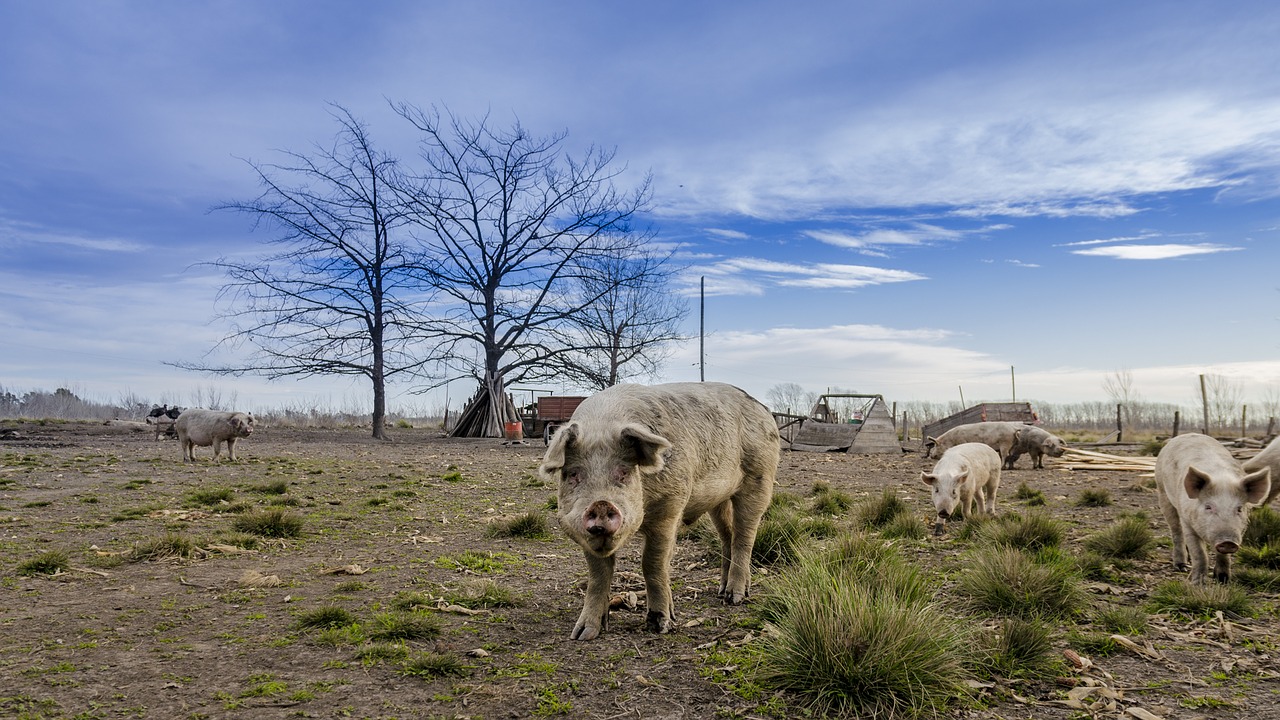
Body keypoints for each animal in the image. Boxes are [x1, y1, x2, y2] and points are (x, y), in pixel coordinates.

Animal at [540, 381, 778, 638]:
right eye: (573, 474)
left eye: (624, 472)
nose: (601, 504)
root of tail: (763, 409)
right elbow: (598, 574)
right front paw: (583, 634)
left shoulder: (670, 506)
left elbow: (653, 563)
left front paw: (660, 625)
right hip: (719, 498)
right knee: (728, 536)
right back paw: (722, 591)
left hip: (760, 477)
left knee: (744, 537)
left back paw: (735, 598)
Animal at [1152, 430, 1269, 584]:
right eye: (1208, 507)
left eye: (1239, 509)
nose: (1228, 541)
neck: (1221, 478)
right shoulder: (1187, 521)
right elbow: (1200, 553)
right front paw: (1197, 584)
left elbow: (1223, 556)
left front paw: (1223, 580)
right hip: (1162, 492)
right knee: (1176, 530)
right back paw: (1181, 566)